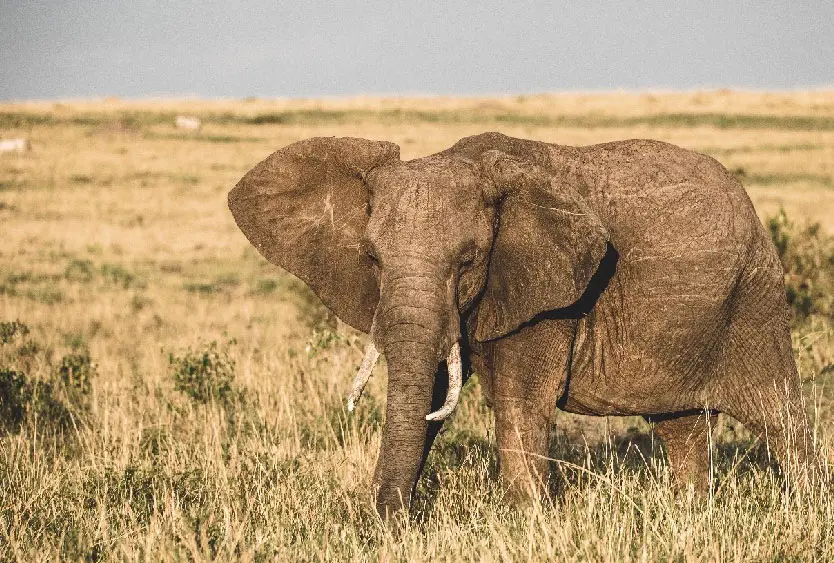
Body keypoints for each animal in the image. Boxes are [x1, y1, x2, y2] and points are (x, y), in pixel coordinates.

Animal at [228, 132, 813, 518]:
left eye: (468, 261)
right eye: (371, 258)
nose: (392, 521)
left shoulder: (549, 296)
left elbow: (518, 401)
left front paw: (528, 523)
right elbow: (433, 392)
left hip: (756, 299)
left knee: (781, 418)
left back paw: (807, 505)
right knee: (681, 426)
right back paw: (688, 516)